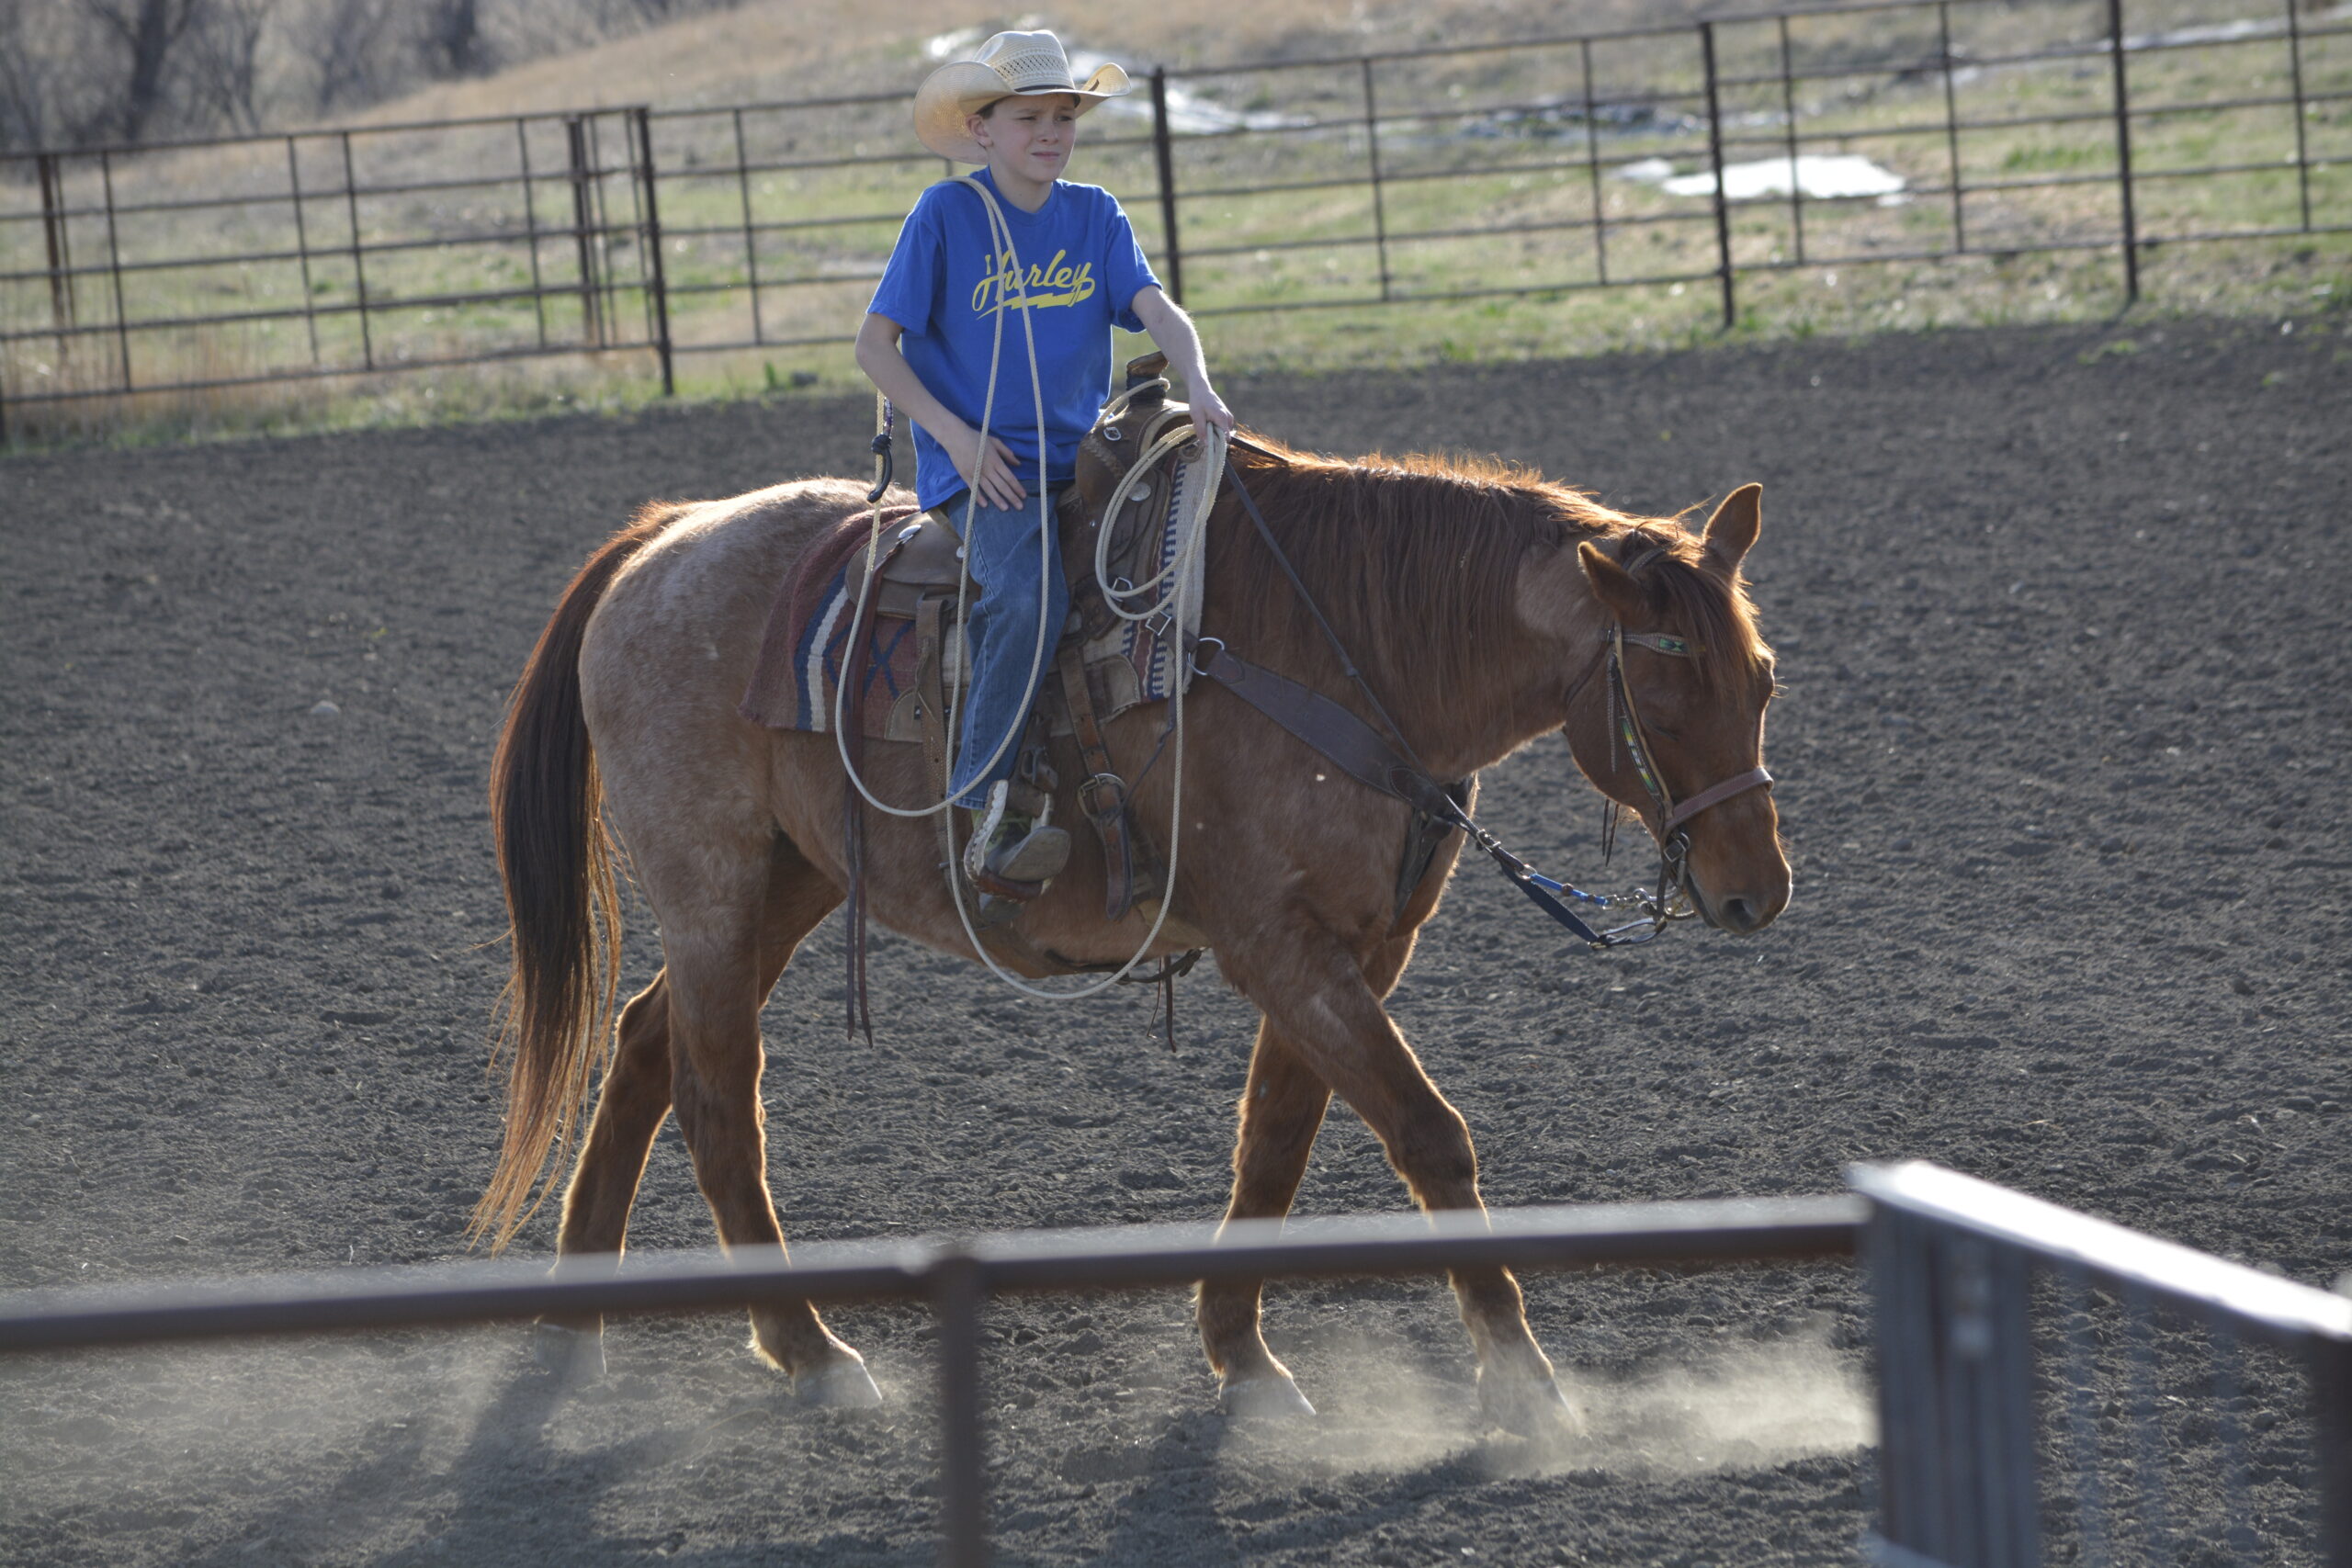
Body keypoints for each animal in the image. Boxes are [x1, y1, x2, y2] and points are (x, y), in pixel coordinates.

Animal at [475, 433, 1788, 1432]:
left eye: (1765, 677)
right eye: (1663, 693)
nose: (1756, 892)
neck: (1351, 656)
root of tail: (663, 538)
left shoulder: (1356, 946)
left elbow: (1274, 1142)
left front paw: (1243, 1359)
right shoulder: (1277, 942)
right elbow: (1427, 1136)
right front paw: (1524, 1386)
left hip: (785, 882)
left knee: (645, 1045)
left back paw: (575, 1328)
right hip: (710, 882)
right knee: (715, 1099)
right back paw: (808, 1349)